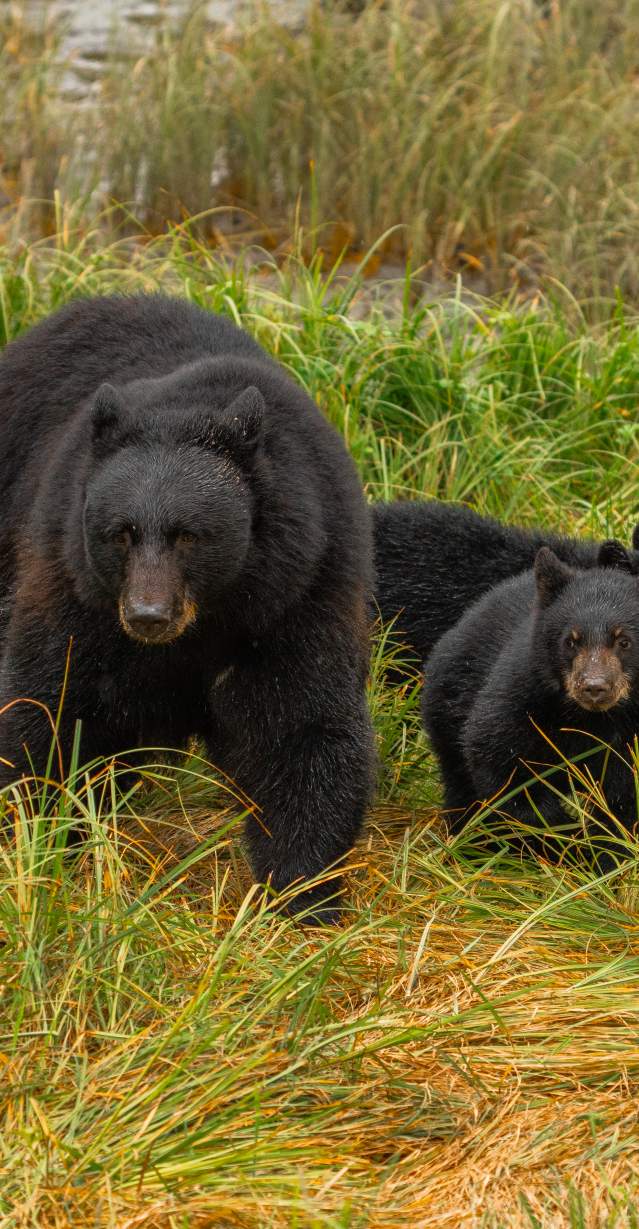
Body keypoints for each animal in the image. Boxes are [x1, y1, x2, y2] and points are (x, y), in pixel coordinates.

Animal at [0, 294, 376, 920]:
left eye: (189, 535)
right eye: (122, 532)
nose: (148, 615)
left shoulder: (299, 593)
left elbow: (299, 726)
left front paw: (303, 889)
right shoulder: (74, 583)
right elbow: (53, 701)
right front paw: (39, 836)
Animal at [422, 540, 639, 851]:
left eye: (624, 641)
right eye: (570, 641)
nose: (594, 687)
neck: (592, 719)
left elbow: (624, 796)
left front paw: (605, 848)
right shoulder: (523, 696)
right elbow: (503, 764)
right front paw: (564, 837)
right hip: (449, 704)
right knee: (460, 781)